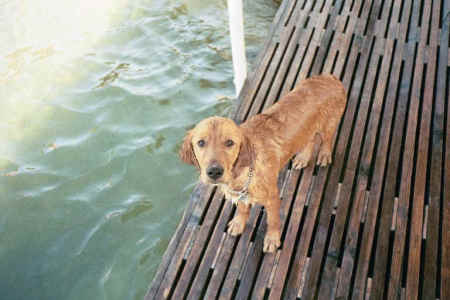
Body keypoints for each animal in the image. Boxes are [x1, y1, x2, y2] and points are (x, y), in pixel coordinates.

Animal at [178, 74, 344, 252]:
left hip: (330, 123)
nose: (214, 172)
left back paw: (324, 155)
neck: (242, 173)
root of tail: (331, 77)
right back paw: (303, 158)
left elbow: (273, 221)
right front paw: (238, 223)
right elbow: (242, 209)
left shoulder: (272, 198)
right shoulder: (241, 195)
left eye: (230, 143)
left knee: (326, 140)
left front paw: (272, 239)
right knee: (310, 139)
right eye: (201, 143)